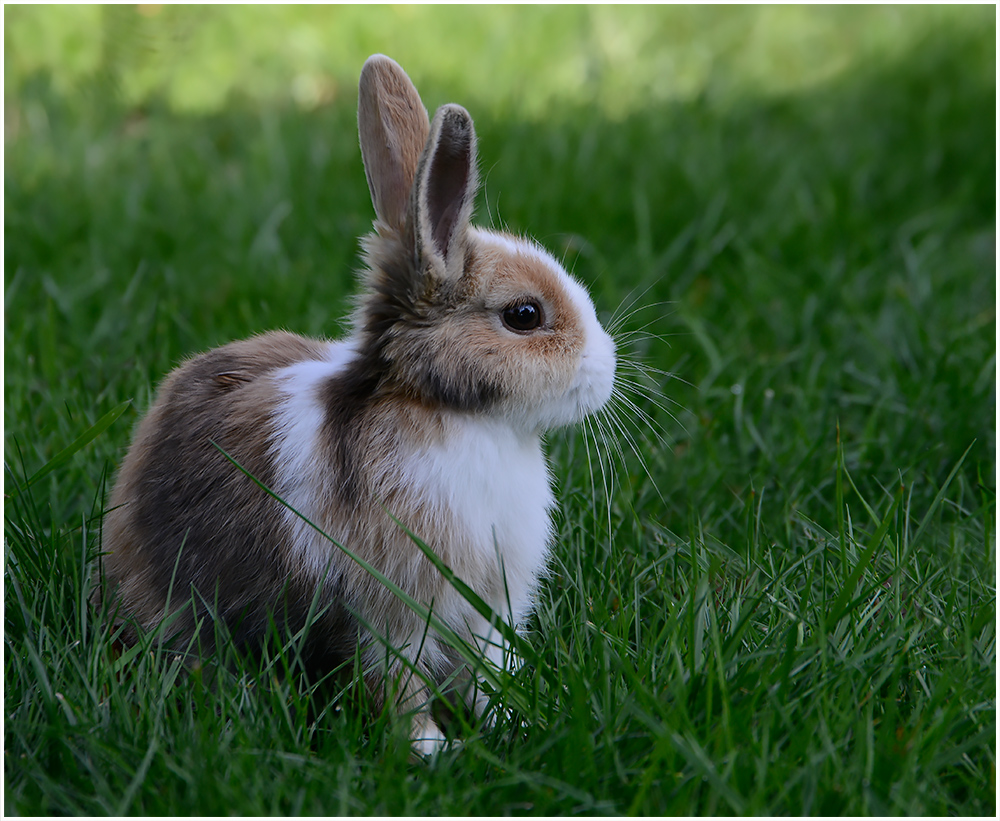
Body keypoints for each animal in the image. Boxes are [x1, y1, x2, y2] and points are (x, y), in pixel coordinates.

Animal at [99, 54, 616, 752]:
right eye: (524, 315)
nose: (607, 369)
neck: (447, 414)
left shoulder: (487, 611)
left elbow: (488, 674)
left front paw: (518, 722)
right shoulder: (390, 614)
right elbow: (397, 686)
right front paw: (430, 750)